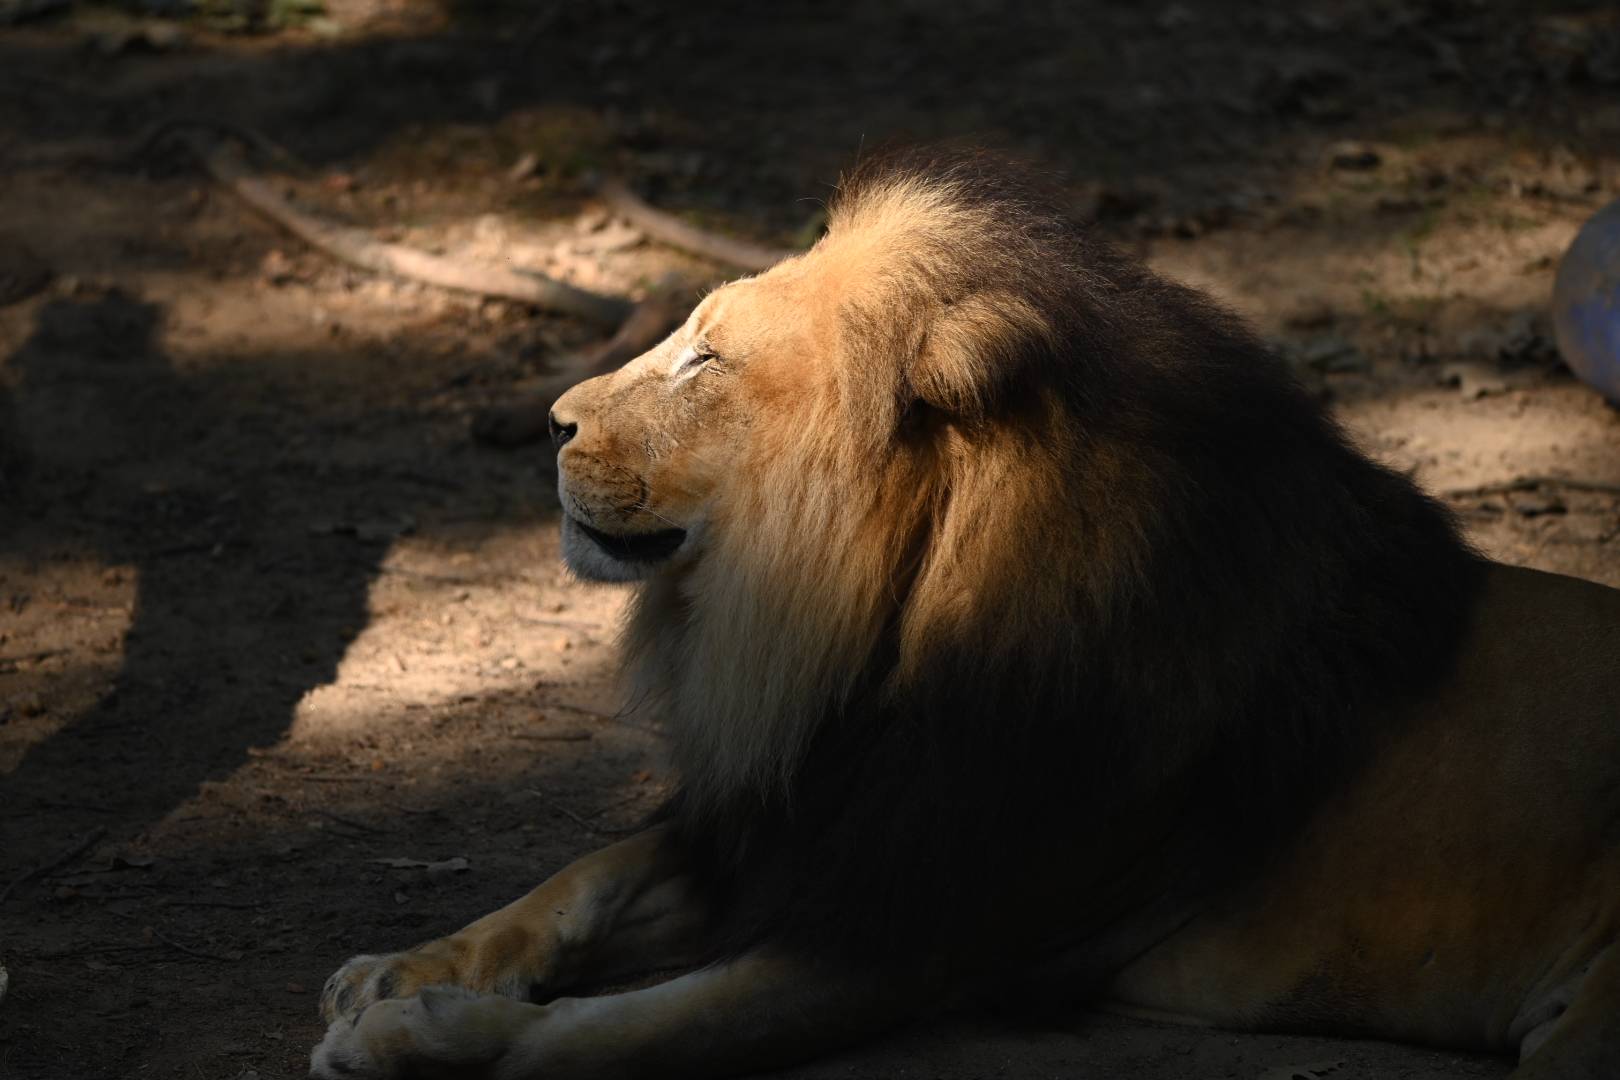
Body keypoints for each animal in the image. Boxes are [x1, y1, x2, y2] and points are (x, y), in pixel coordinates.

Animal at [311, 149, 1620, 1079]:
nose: (552, 424)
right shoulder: (804, 819)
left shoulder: (905, 934)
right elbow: (574, 882)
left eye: (707, 362)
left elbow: (611, 1037)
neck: (875, 631)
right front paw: (397, 970)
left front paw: (418, 1039)